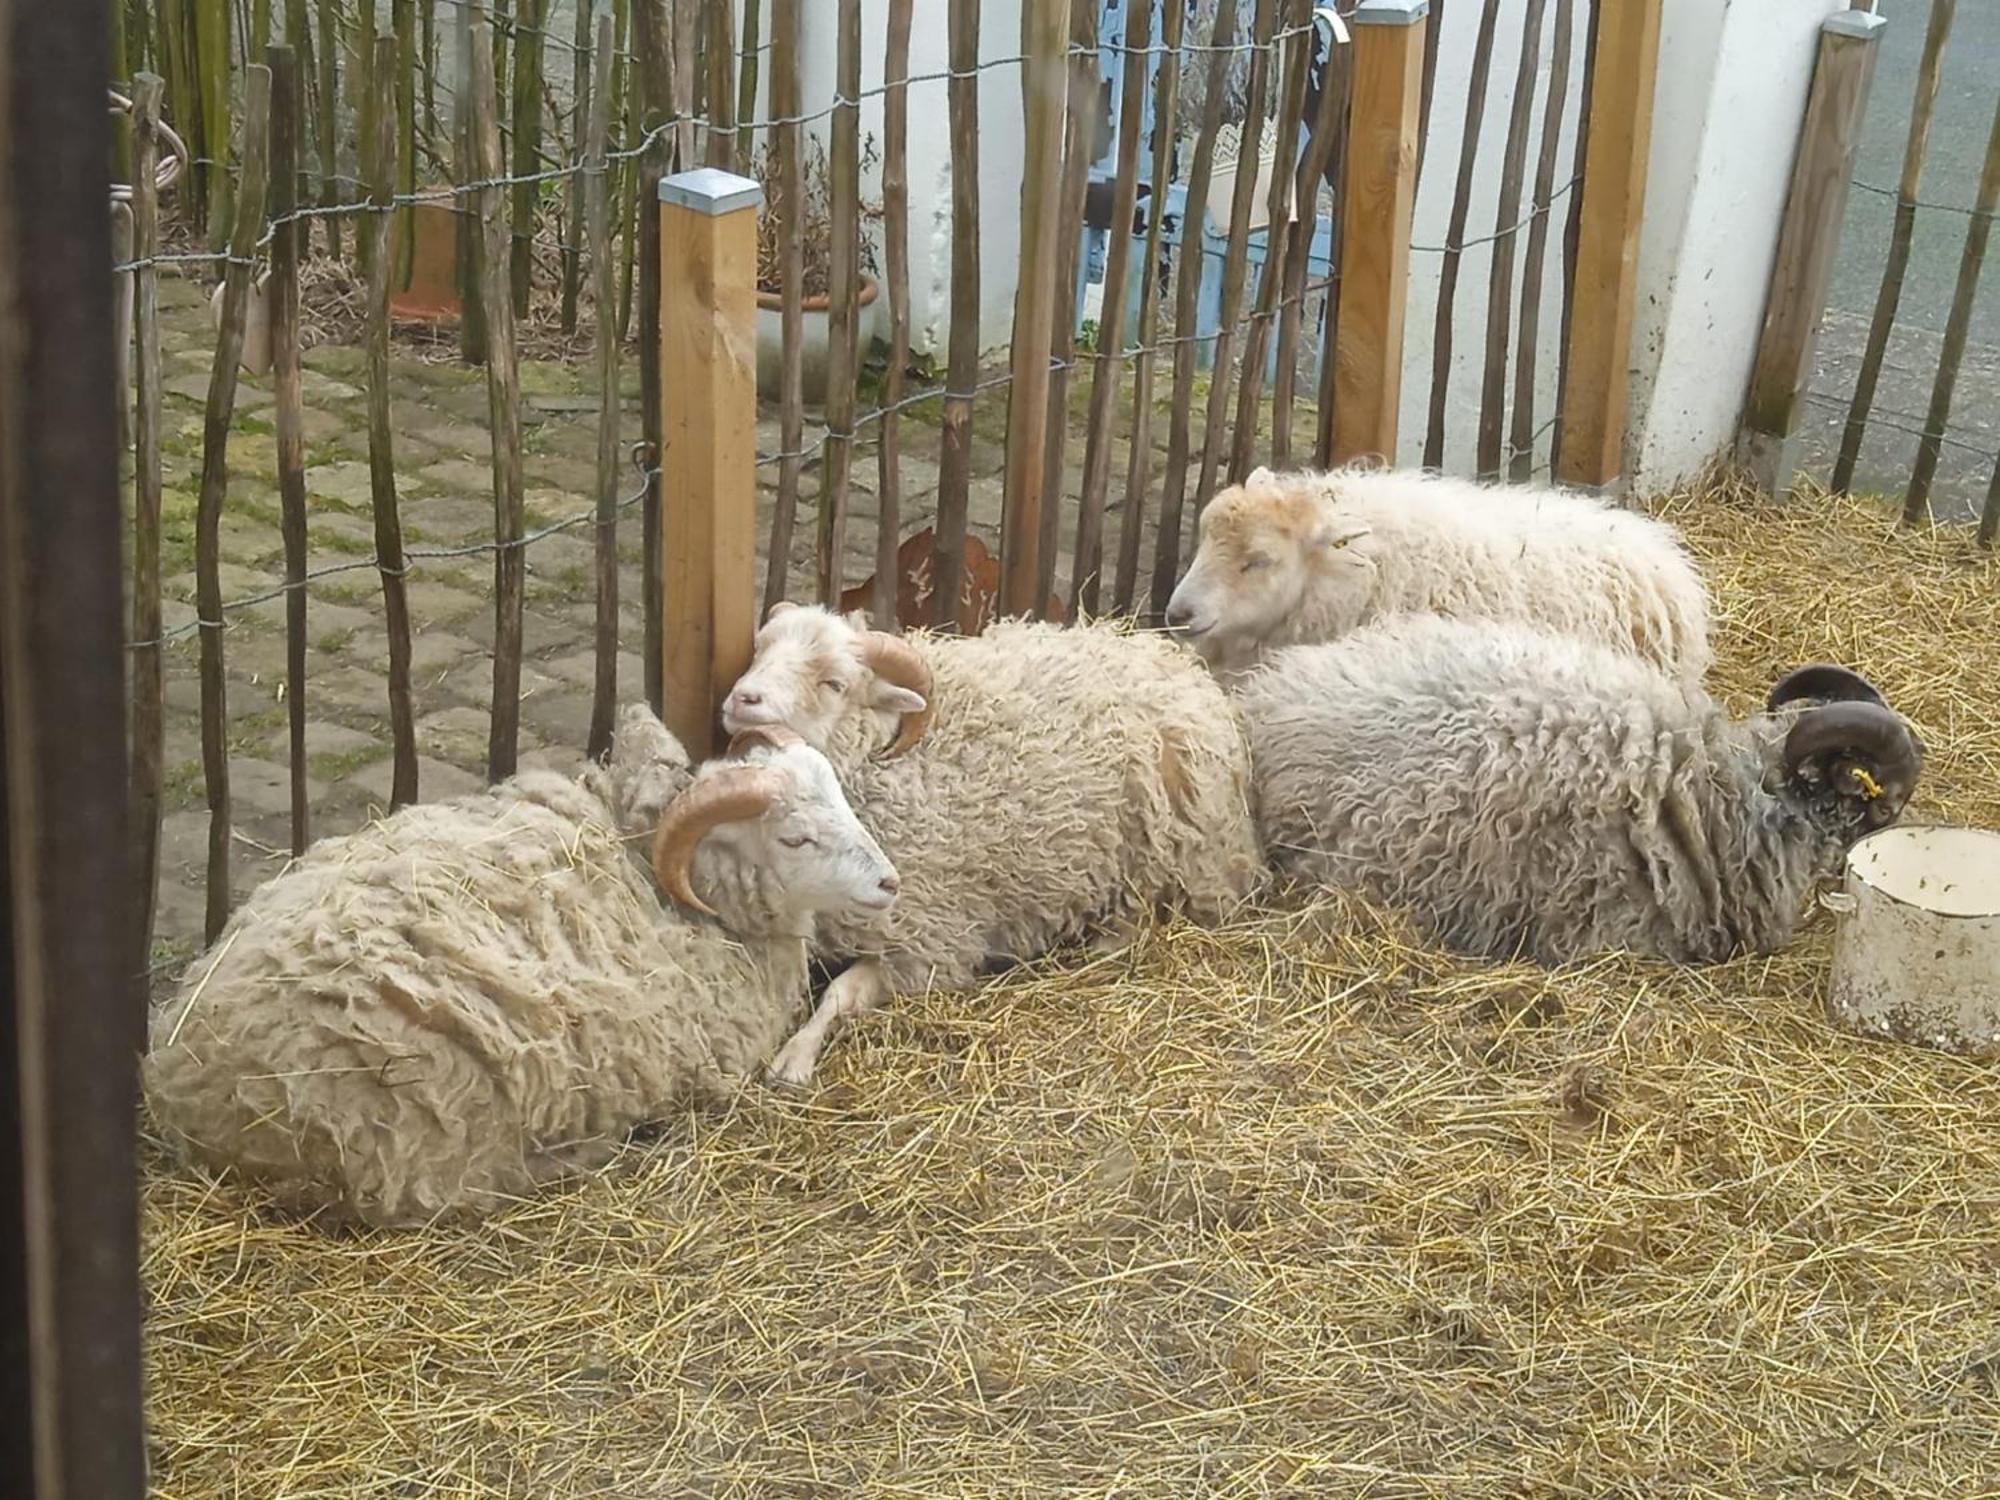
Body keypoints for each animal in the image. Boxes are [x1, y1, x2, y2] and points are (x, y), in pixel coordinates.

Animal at [724, 604, 1264, 1096]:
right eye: (760, 649)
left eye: (833, 683)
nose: (741, 698)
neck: (889, 760)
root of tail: (1174, 662)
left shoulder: (934, 943)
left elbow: (839, 994)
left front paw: (794, 1059)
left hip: (1174, 849)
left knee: (1148, 913)